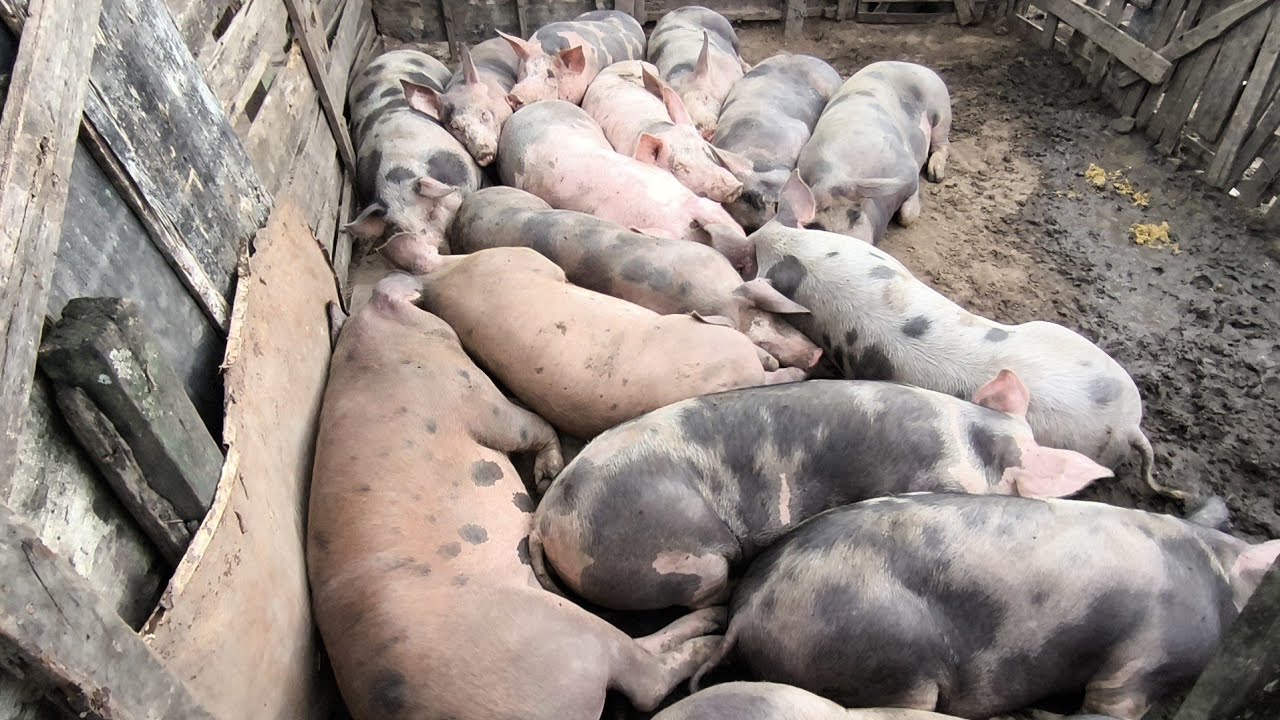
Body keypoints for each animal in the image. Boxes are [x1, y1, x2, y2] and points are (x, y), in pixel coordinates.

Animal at [309, 273, 727, 720]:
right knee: (645, 676)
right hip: (570, 636)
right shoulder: (470, 393)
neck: (376, 351)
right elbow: (529, 424)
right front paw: (547, 474)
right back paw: (712, 630)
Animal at [797, 61, 952, 243]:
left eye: (855, 215)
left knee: (943, 144)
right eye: (817, 226)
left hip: (942, 109)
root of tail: (915, 65)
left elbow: (906, 216)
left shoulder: (908, 167)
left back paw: (936, 175)